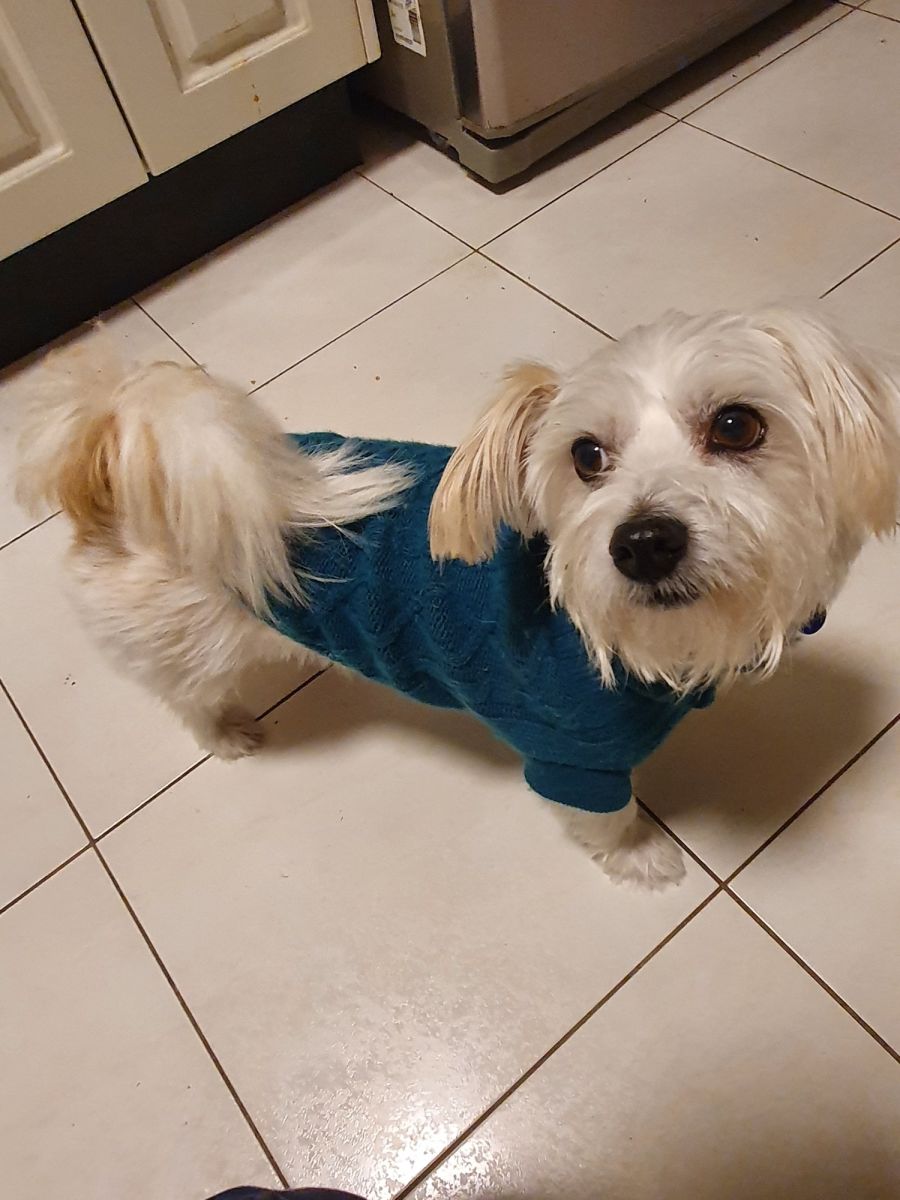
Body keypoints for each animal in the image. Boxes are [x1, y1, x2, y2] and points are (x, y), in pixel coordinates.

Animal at [17, 308, 899, 889]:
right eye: (585, 456)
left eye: (737, 425)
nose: (643, 542)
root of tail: (109, 473)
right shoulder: (570, 753)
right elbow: (606, 820)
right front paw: (640, 856)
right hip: (187, 647)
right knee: (186, 699)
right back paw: (228, 732)